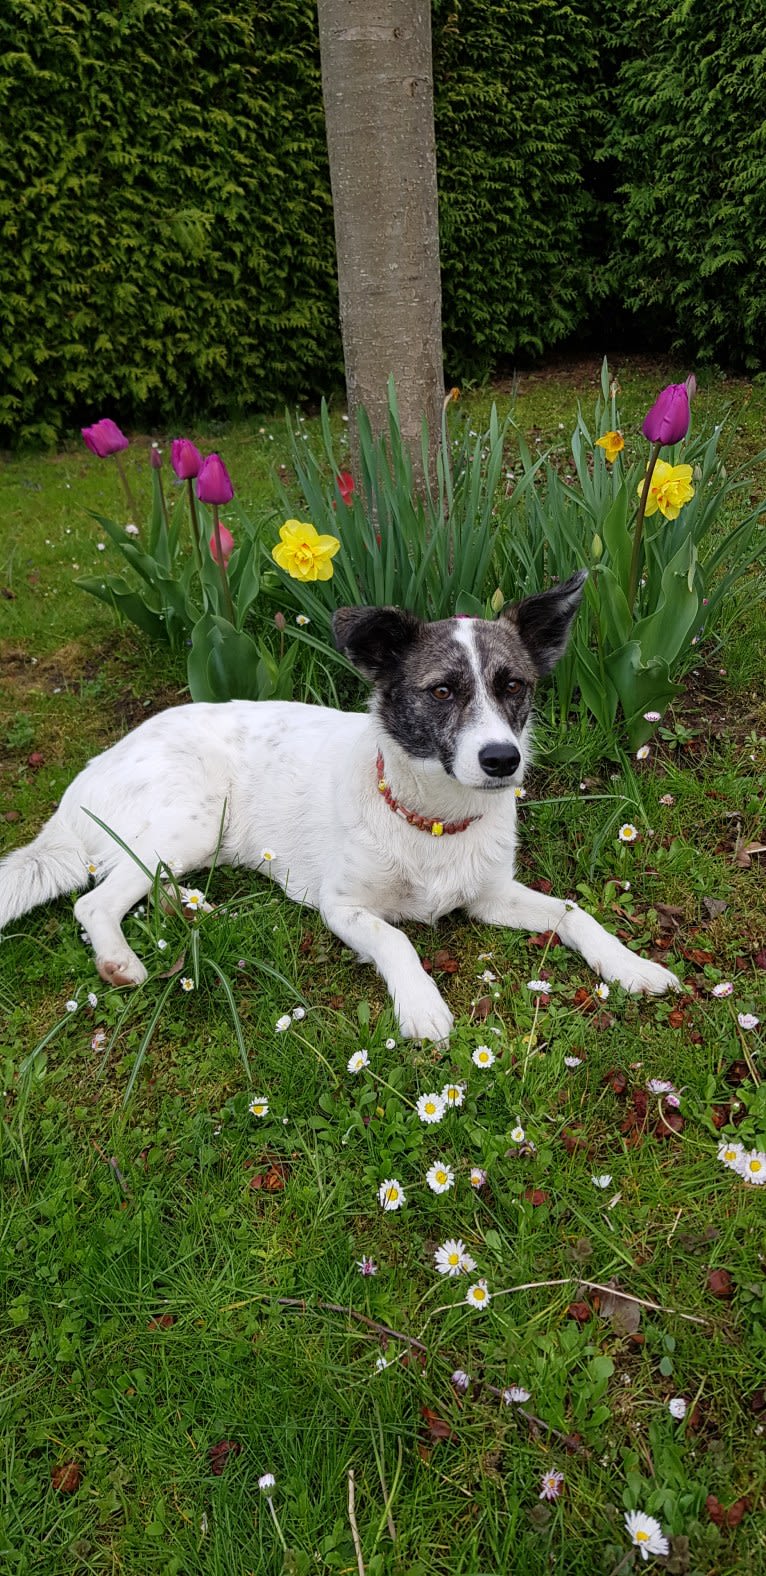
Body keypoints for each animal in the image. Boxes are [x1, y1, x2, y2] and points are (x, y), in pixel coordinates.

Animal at [0, 573, 677, 1040]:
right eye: (442, 691)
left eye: (514, 686)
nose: (502, 761)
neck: (432, 819)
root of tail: (80, 785)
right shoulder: (344, 907)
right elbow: (398, 940)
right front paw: (423, 1006)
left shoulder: (489, 895)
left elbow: (576, 913)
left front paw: (631, 966)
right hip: (189, 821)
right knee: (95, 901)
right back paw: (121, 961)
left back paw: (193, 909)